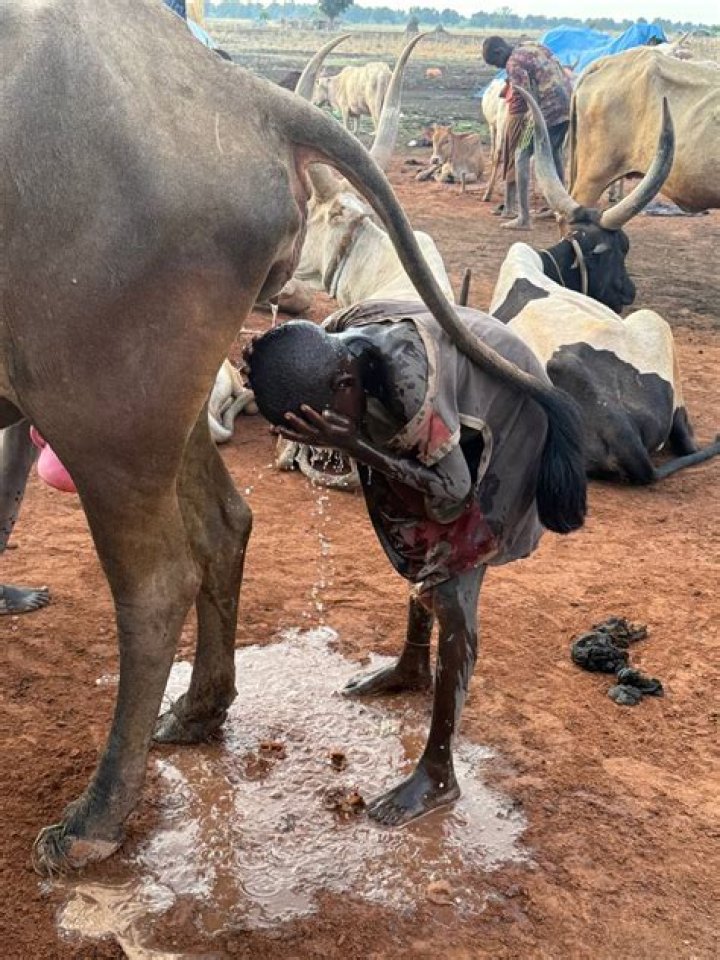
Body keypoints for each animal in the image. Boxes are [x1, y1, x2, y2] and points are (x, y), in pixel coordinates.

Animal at [4, 1, 568, 873]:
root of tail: (243, 95)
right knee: (227, 525)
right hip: (161, 393)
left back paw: (97, 819)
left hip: (102, 396)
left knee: (159, 582)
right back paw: (203, 711)